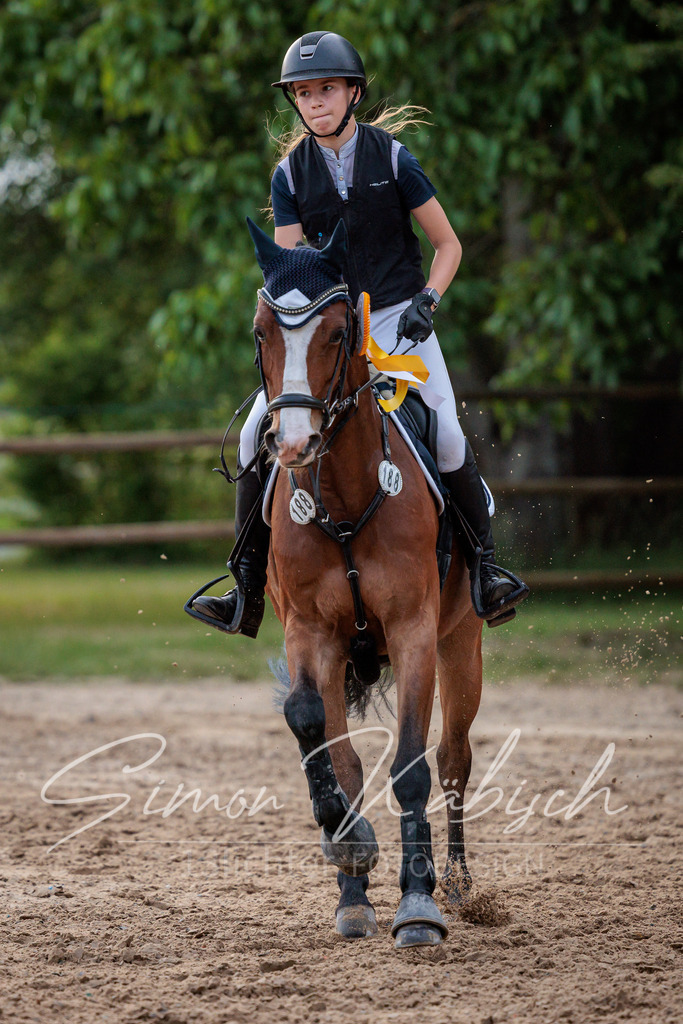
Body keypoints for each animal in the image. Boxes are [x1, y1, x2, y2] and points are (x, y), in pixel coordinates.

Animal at [241, 218, 482, 948]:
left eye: (338, 332)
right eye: (260, 332)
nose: (293, 444)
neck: (346, 499)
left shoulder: (413, 632)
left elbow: (411, 765)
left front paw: (418, 905)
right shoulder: (309, 632)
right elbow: (310, 725)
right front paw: (348, 850)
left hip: (462, 646)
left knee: (454, 758)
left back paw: (457, 885)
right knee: (346, 752)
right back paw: (353, 896)